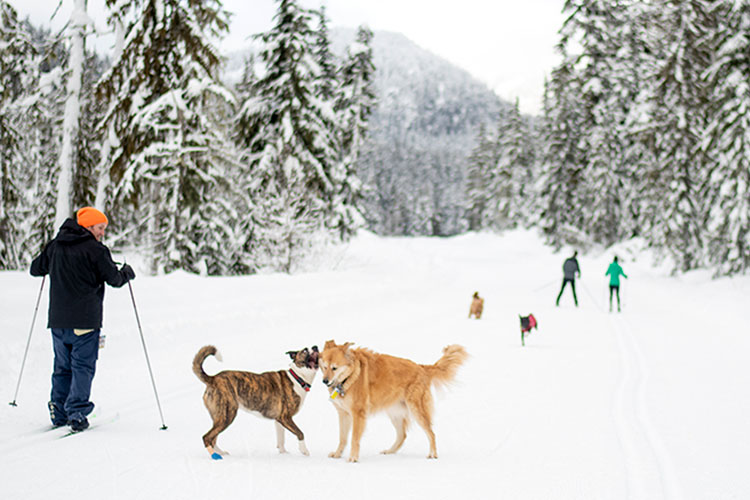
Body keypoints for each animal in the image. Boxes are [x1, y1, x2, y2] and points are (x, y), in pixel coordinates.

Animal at [318, 340, 470, 460]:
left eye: (334, 368)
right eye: (324, 367)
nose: (324, 381)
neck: (350, 376)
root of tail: (422, 368)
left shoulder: (358, 414)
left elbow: (354, 438)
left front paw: (353, 458)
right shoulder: (343, 414)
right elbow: (342, 438)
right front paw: (338, 454)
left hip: (416, 409)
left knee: (431, 433)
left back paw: (433, 454)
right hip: (394, 412)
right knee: (402, 435)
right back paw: (390, 451)